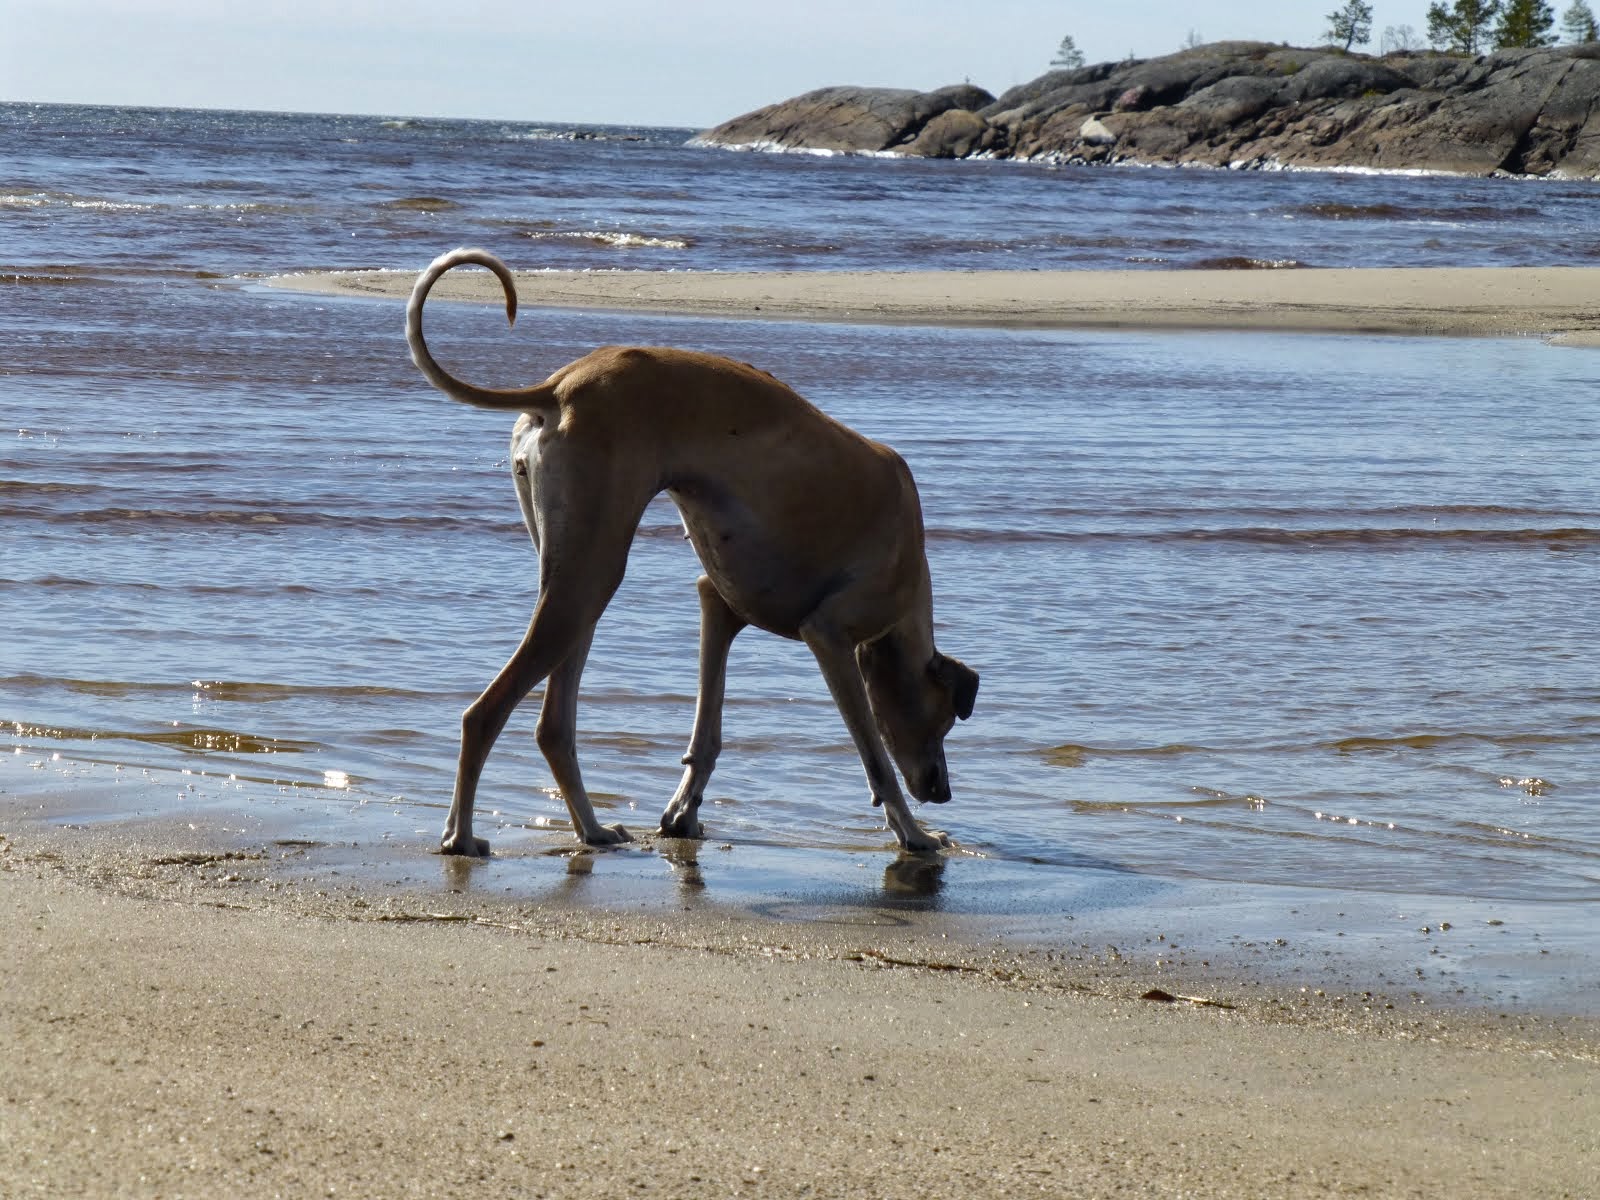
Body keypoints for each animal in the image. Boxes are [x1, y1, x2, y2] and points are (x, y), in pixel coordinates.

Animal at [406, 249, 972, 857]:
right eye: (946, 718)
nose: (942, 791)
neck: (910, 560)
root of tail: (561, 385)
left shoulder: (717, 609)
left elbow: (708, 734)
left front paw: (683, 815)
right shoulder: (829, 635)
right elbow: (875, 759)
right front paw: (915, 833)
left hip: (574, 575)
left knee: (553, 723)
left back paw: (593, 829)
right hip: (590, 577)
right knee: (483, 714)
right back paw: (462, 836)